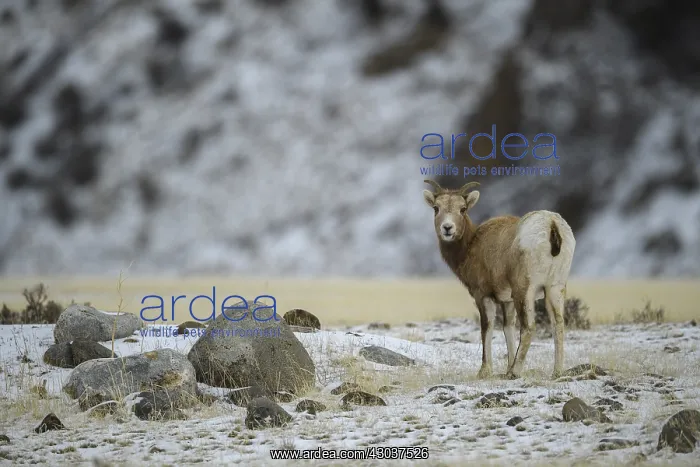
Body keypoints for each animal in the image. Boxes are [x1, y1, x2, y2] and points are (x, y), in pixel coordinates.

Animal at [422, 179, 576, 379]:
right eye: (436, 208)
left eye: (463, 209)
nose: (447, 228)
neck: (471, 246)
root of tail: (551, 224)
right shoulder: (507, 301)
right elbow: (508, 328)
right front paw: (507, 367)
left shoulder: (484, 296)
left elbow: (486, 328)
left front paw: (485, 371)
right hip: (555, 289)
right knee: (558, 324)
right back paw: (556, 372)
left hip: (524, 291)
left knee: (529, 327)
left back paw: (515, 373)